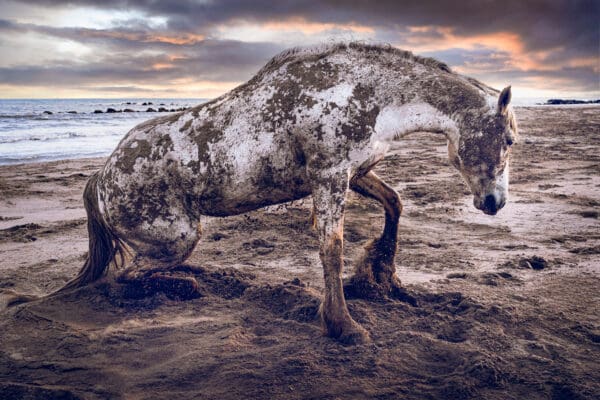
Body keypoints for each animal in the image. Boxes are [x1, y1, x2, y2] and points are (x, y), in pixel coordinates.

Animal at [10, 43, 520, 344]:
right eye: (510, 140)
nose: (494, 203)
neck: (363, 91)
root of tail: (102, 175)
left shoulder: (353, 173)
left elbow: (394, 203)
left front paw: (383, 276)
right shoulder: (330, 176)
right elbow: (331, 247)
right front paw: (344, 325)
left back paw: (188, 283)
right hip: (179, 236)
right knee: (122, 279)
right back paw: (184, 286)